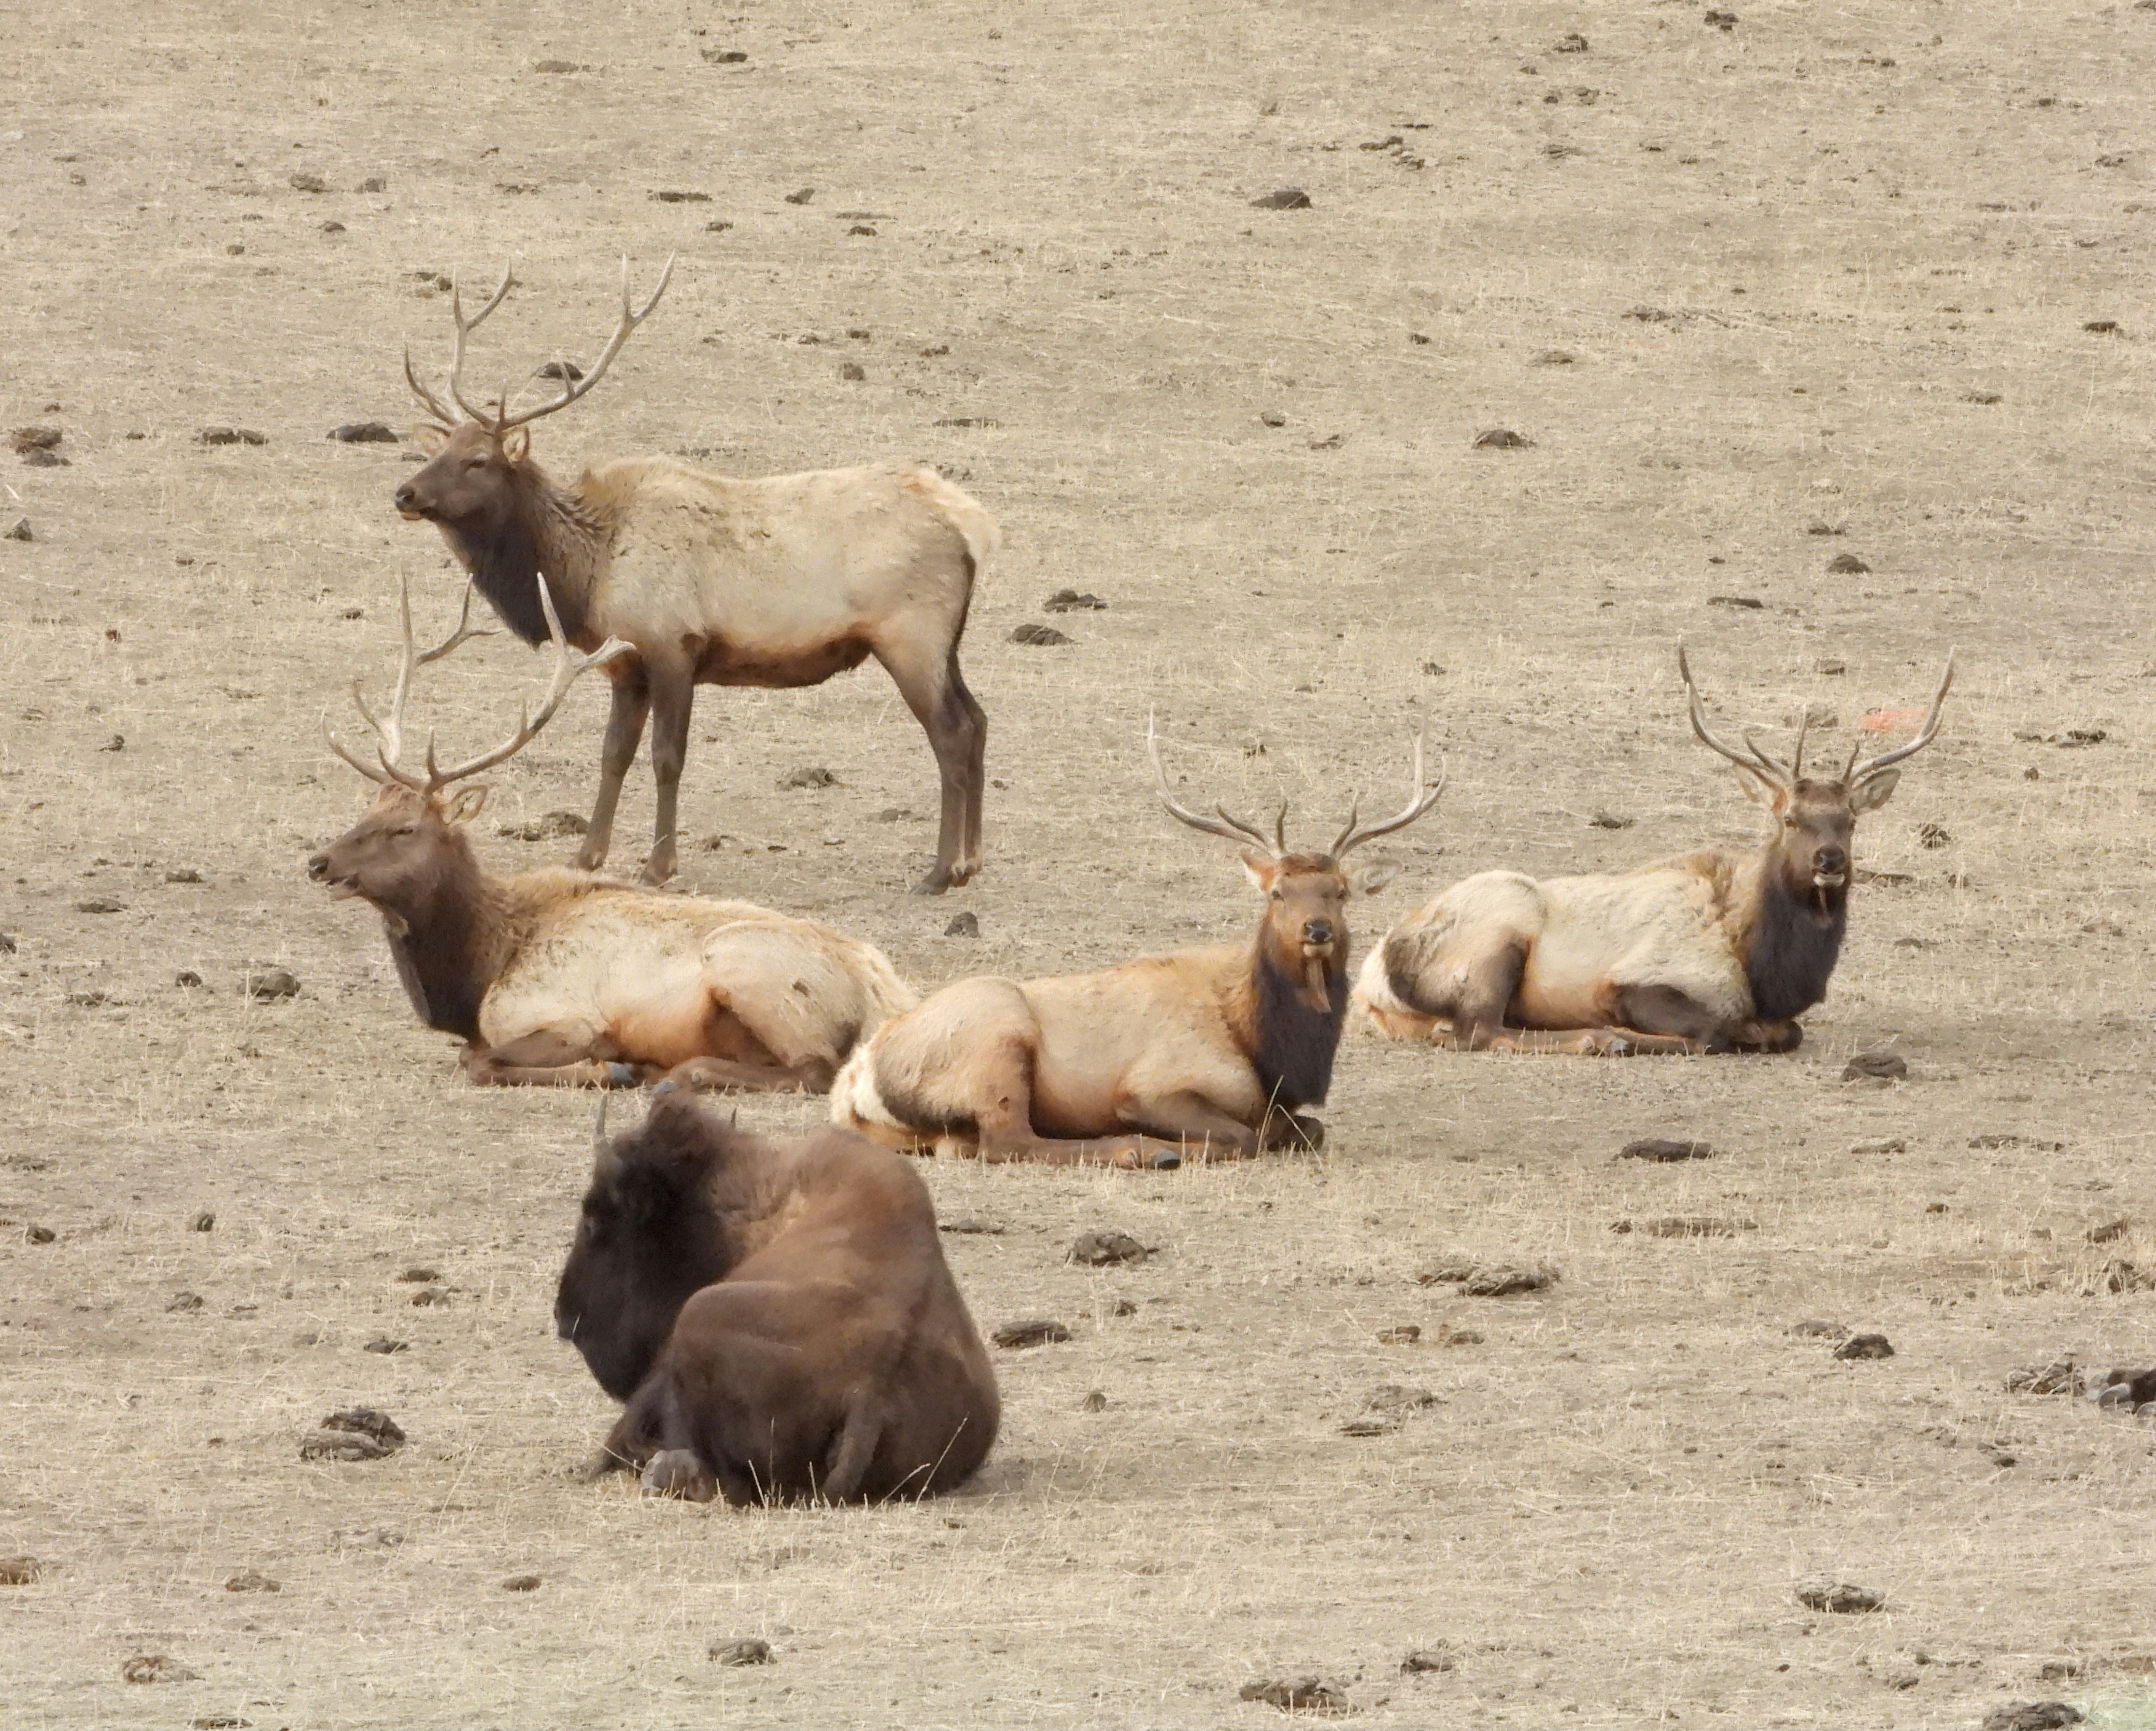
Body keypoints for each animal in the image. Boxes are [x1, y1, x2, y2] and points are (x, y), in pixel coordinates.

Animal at [307, 575, 916, 1090]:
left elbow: (477, 1060)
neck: (480, 973)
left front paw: (607, 1069)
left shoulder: (562, 1017)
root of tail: (884, 993)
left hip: (751, 972)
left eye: (405, 828)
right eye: (365, 812)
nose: (319, 862)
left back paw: (676, 1071)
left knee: (814, 1070)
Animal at [392, 258, 999, 894]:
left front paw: (659, 865)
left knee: (951, 732)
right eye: (438, 452)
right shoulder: (624, 665)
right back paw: (973, 858)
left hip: (911, 634)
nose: (404, 494)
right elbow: (613, 754)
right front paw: (587, 856)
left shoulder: (672, 644)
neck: (586, 574)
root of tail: (973, 526)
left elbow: (667, 756)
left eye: (478, 460)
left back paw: (942, 869)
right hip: (945, 641)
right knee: (979, 720)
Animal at [829, 724, 1442, 1167]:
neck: (1270, 1051)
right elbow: (1247, 1136)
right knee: (1010, 1142)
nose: (1316, 930)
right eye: (1277, 893)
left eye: (1339, 892)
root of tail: (855, 1082)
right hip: (996, 1042)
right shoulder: (1151, 1085)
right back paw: (1144, 1151)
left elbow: (1309, 1130)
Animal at [1353, 645, 1955, 1055]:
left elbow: (1788, 1033)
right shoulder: (1638, 979)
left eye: (1849, 821)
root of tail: (1370, 980)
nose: (1830, 861)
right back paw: (1597, 1038)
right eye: (1789, 818)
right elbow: (1711, 1031)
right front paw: (1624, 1034)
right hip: (1499, 930)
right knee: (1478, 1030)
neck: (1767, 970)